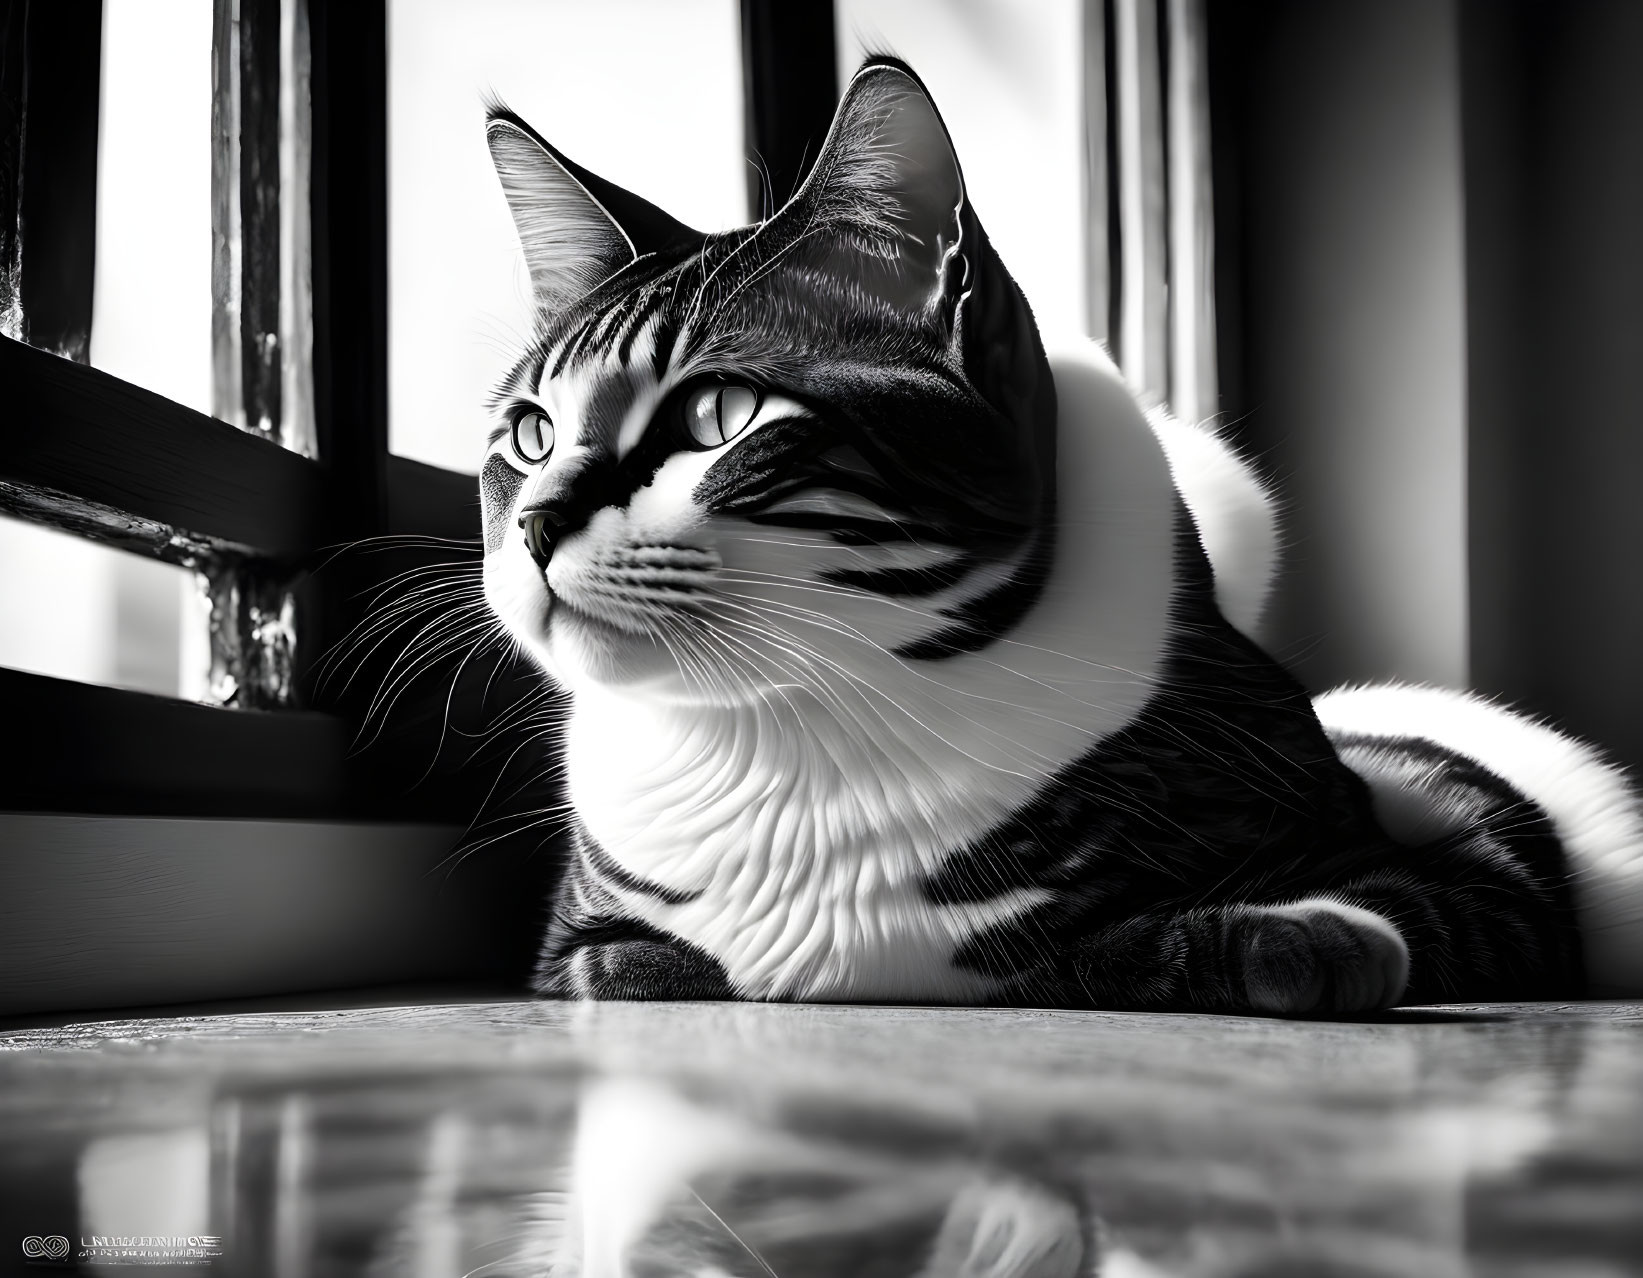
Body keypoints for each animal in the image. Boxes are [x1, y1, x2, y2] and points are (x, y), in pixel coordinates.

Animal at [473, 57, 1643, 1018]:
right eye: (531, 435)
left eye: (718, 416)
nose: (534, 523)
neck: (794, 727)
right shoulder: (578, 943)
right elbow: (647, 959)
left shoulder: (1480, 883)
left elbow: (1083, 945)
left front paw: (1307, 937)